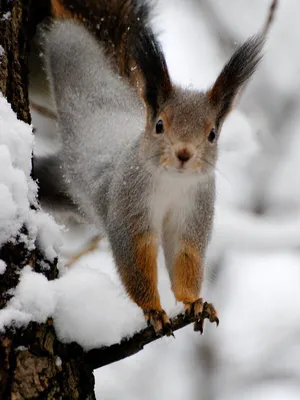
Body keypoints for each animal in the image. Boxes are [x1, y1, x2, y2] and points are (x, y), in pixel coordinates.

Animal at [34, 0, 266, 336]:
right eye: (159, 125)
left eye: (212, 134)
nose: (184, 153)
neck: (172, 182)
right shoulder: (128, 207)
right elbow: (136, 261)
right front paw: (153, 310)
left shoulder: (194, 211)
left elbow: (185, 258)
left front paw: (194, 302)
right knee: (68, 38)